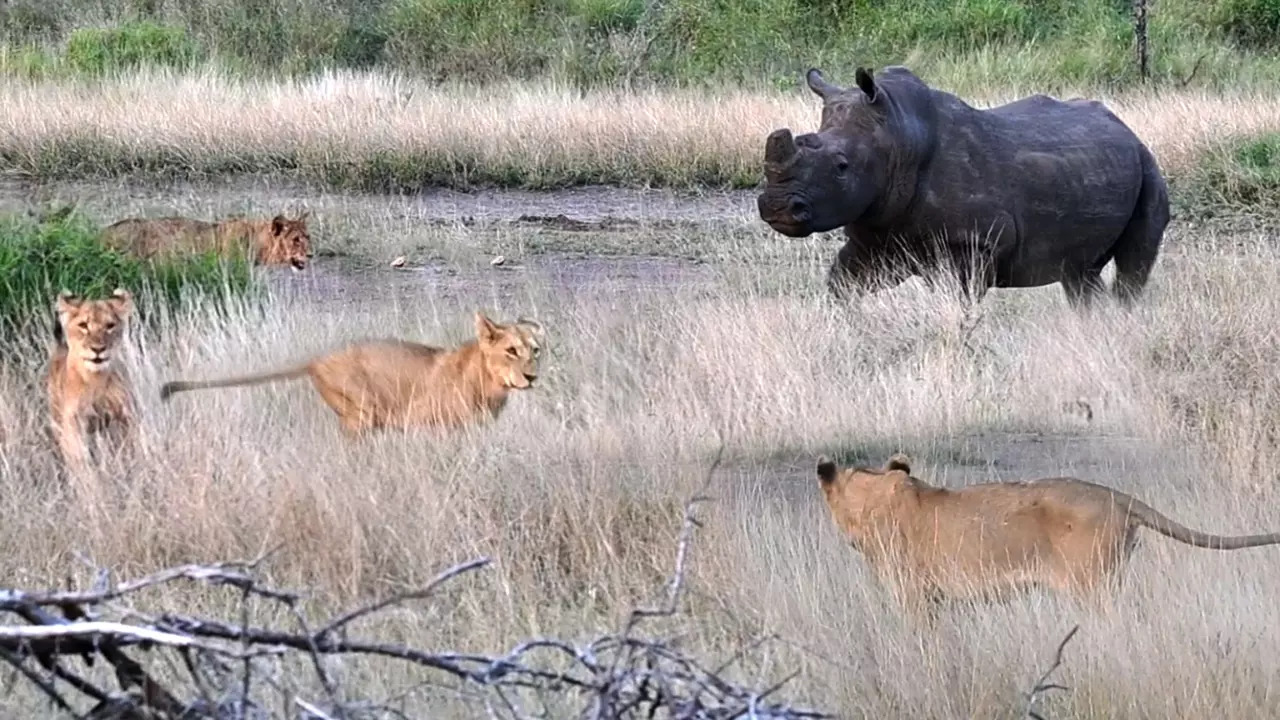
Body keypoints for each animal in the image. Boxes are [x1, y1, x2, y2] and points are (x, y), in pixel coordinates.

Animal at [47, 285, 138, 476]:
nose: (98, 349)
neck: (96, 379)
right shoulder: (74, 422)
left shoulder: (126, 414)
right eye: (83, 325)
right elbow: (79, 456)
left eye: (110, 326)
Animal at [158, 311, 540, 435]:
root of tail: (316, 360)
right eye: (511, 351)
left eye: (535, 350)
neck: (491, 385)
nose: (533, 377)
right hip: (361, 414)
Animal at [757, 64, 1172, 304]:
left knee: (1134, 264)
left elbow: (957, 306)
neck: (897, 137)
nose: (777, 207)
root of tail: (1126, 128)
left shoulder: (975, 243)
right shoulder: (877, 235)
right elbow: (841, 286)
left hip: (1148, 164)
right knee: (1080, 274)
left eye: (841, 166)